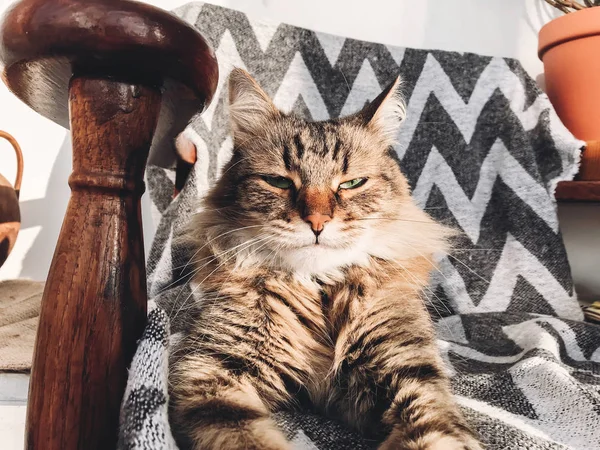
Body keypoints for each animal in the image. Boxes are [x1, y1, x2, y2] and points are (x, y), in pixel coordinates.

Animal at [169, 67, 482, 450]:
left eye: (352, 184)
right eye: (278, 182)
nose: (317, 222)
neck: (318, 288)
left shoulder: (407, 368)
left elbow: (434, 430)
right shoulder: (210, 371)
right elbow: (246, 437)